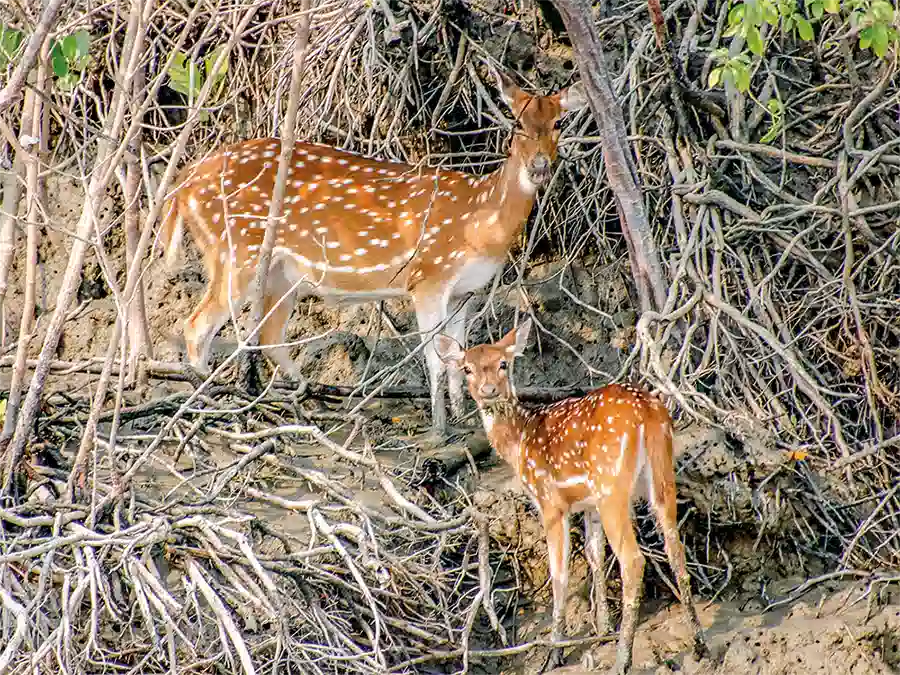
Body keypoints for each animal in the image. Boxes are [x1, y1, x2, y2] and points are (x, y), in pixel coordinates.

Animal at [158, 71, 588, 436]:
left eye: (559, 123)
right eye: (517, 124)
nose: (539, 166)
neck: (480, 222)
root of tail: (183, 184)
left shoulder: (464, 291)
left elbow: (456, 357)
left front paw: (463, 419)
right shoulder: (427, 277)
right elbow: (435, 358)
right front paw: (439, 430)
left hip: (281, 273)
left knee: (269, 333)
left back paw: (306, 398)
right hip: (235, 252)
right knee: (196, 327)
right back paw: (209, 406)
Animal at [438, 320, 712, 672]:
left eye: (503, 364)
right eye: (467, 368)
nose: (488, 391)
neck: (519, 441)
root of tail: (648, 412)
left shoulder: (550, 501)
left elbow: (560, 573)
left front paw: (555, 652)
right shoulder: (588, 504)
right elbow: (595, 557)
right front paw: (602, 629)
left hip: (612, 485)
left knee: (633, 560)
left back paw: (623, 660)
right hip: (662, 475)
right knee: (675, 550)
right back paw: (700, 644)